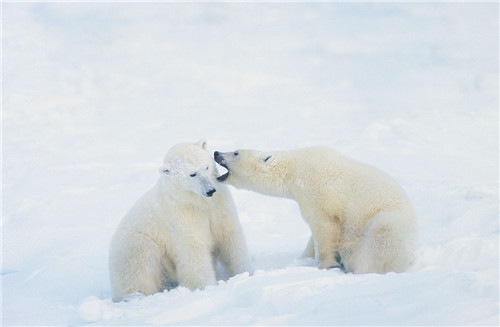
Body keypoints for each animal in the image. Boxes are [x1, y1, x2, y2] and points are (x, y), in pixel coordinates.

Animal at [108, 141, 250, 302]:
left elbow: (229, 237)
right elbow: (193, 249)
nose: (210, 190)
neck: (198, 200)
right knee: (140, 262)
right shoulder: (182, 214)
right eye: (192, 174)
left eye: (206, 167)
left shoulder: (219, 205)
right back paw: (136, 296)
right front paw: (207, 288)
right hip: (133, 244)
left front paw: (245, 273)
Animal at [215, 147, 418, 276]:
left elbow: (323, 227)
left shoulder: (316, 190)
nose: (217, 153)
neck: (293, 168)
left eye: (235, 152)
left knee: (381, 239)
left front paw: (323, 265)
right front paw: (302, 260)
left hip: (390, 221)